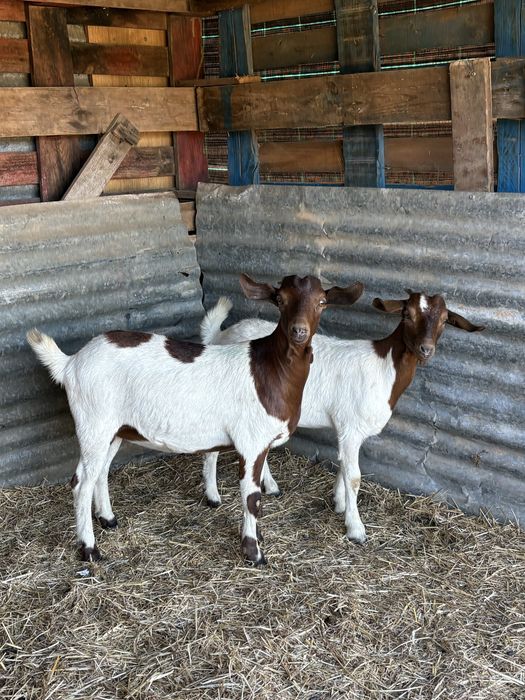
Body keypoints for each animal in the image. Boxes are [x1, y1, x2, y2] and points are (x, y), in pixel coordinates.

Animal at [27, 274, 363, 565]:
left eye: (322, 301)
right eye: (279, 299)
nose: (299, 332)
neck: (269, 370)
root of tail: (70, 363)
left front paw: (257, 538)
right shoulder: (251, 442)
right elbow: (251, 497)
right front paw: (253, 552)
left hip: (115, 429)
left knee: (101, 472)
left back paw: (108, 519)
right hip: (93, 423)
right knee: (81, 482)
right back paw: (89, 549)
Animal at [201, 291, 485, 543]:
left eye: (445, 319)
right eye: (407, 314)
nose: (426, 349)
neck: (385, 366)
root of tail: (222, 335)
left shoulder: (347, 428)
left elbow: (343, 466)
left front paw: (339, 502)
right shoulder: (351, 427)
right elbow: (354, 476)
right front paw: (355, 528)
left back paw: (269, 485)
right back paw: (213, 496)